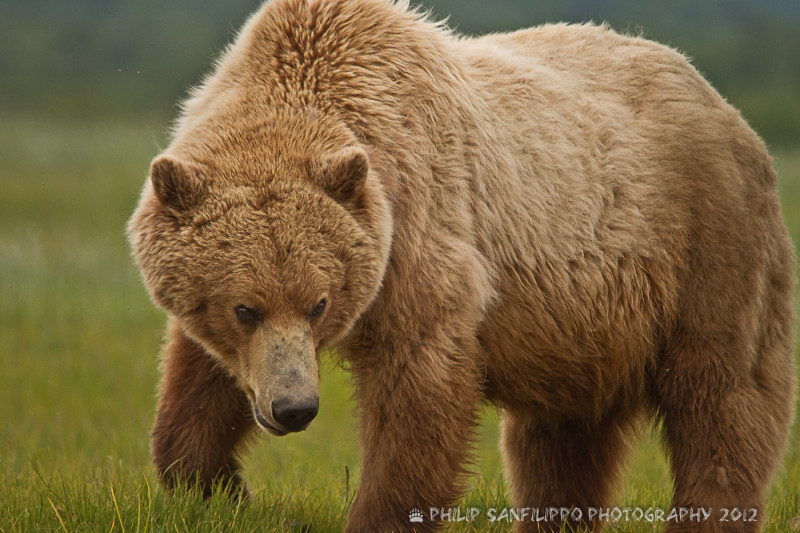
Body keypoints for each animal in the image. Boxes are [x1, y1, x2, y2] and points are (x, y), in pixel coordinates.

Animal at [126, 1, 792, 532]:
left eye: (319, 302)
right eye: (245, 307)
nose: (294, 409)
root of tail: (721, 101)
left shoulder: (418, 228)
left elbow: (419, 387)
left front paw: (378, 515)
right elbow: (196, 387)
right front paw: (219, 491)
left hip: (705, 241)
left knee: (722, 398)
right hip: (583, 326)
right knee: (561, 440)